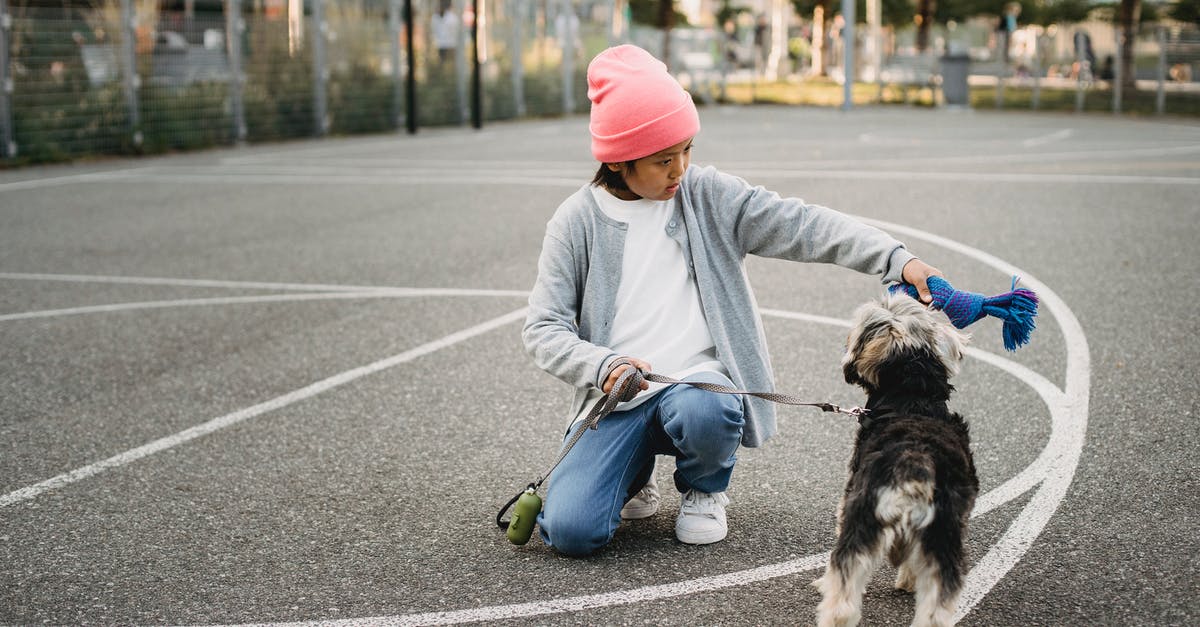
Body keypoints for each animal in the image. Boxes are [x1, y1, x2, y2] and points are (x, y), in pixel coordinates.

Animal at [811, 294, 979, 624]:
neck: (912, 400)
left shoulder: (848, 498)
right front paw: (908, 581)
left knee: (844, 589)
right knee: (937, 605)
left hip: (862, 519)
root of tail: (915, 464)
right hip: (944, 535)